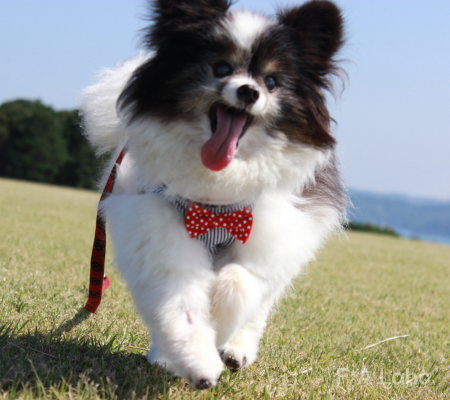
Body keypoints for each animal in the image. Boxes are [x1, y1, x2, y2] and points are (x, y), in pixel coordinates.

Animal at [81, 0, 346, 389]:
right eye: (220, 68)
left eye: (272, 82)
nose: (249, 91)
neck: (216, 203)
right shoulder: (157, 228)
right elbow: (182, 303)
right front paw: (199, 362)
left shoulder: (268, 233)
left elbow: (237, 284)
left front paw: (220, 329)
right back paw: (166, 355)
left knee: (259, 305)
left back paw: (237, 349)